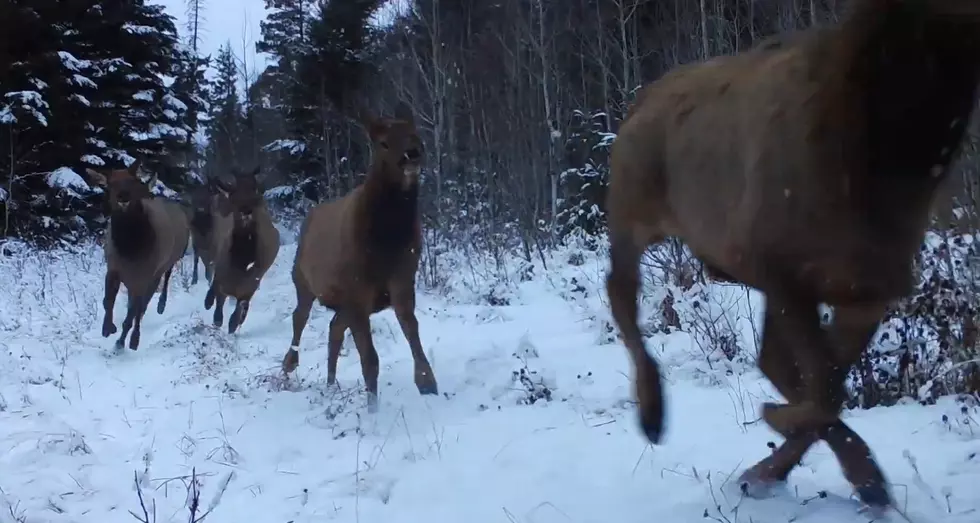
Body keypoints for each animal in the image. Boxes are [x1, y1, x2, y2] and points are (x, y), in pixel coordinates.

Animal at [85, 158, 192, 350]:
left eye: (132, 182)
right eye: (110, 184)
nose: (123, 198)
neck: (130, 248)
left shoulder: (144, 277)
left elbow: (134, 312)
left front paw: (127, 339)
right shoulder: (113, 268)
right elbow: (107, 301)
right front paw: (107, 328)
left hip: (166, 263)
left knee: (152, 295)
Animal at [203, 168, 280, 336]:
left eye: (256, 198)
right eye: (234, 199)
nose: (247, 211)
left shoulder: (251, 283)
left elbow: (238, 309)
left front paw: (233, 325)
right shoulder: (222, 273)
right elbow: (218, 298)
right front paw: (215, 315)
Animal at [282, 104, 438, 412]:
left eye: (415, 134)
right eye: (384, 143)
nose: (413, 154)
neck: (387, 242)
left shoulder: (402, 279)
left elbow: (411, 328)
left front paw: (428, 383)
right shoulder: (356, 289)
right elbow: (370, 359)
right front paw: (372, 409)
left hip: (344, 300)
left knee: (333, 328)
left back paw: (331, 383)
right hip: (303, 280)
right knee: (299, 317)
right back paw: (289, 365)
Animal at [604, 0, 980, 512]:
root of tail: (640, 99)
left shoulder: (868, 289)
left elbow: (826, 387)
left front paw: (804, 469)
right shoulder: (784, 271)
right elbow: (823, 389)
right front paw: (789, 436)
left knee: (772, 361)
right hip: (632, 205)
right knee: (620, 291)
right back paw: (651, 411)